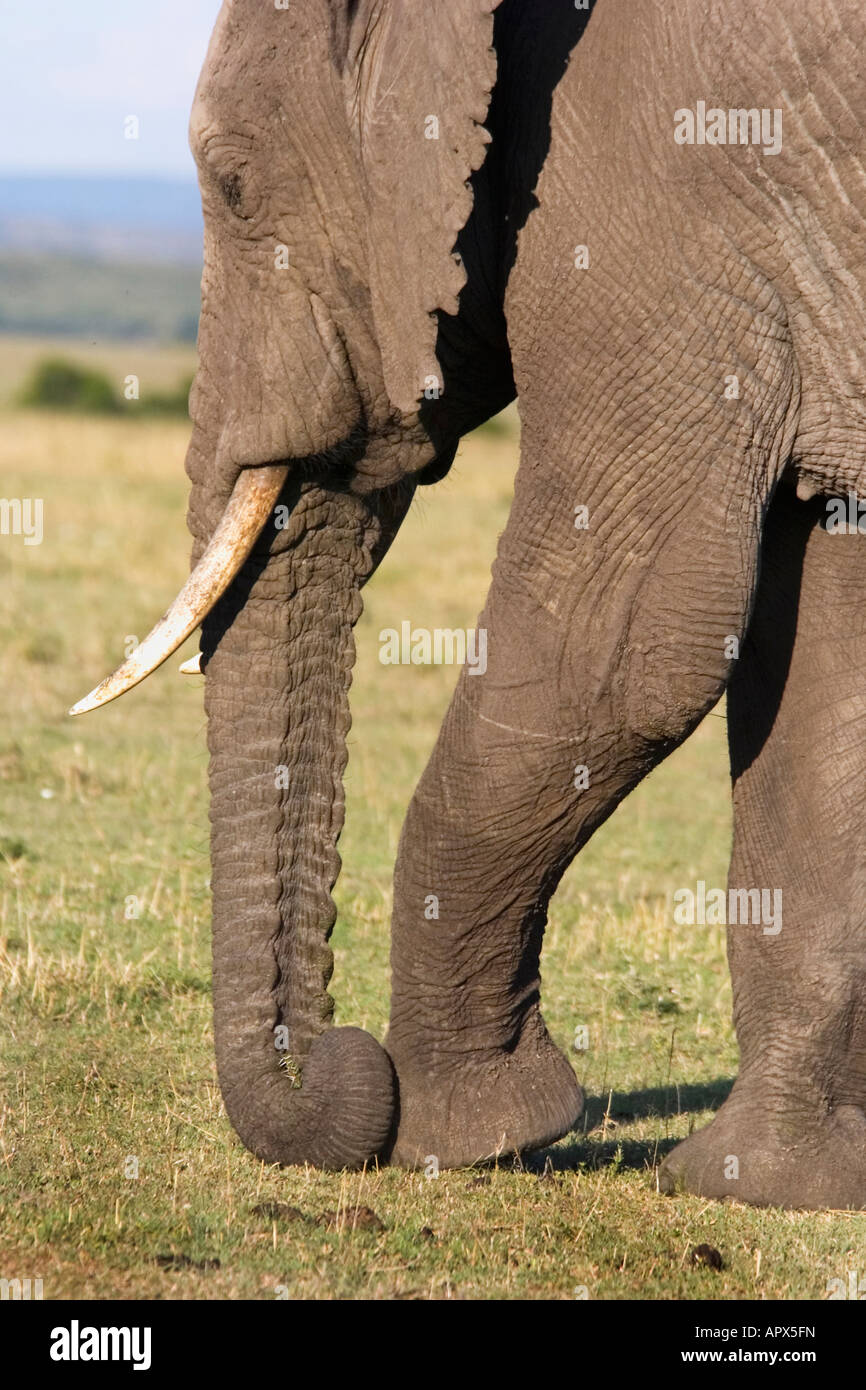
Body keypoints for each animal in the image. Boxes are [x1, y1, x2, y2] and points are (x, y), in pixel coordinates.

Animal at [71, 0, 866, 1212]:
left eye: (237, 187)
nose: (336, 1057)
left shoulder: (652, 193)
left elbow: (618, 647)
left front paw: (460, 1138)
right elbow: (820, 655)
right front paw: (766, 1186)